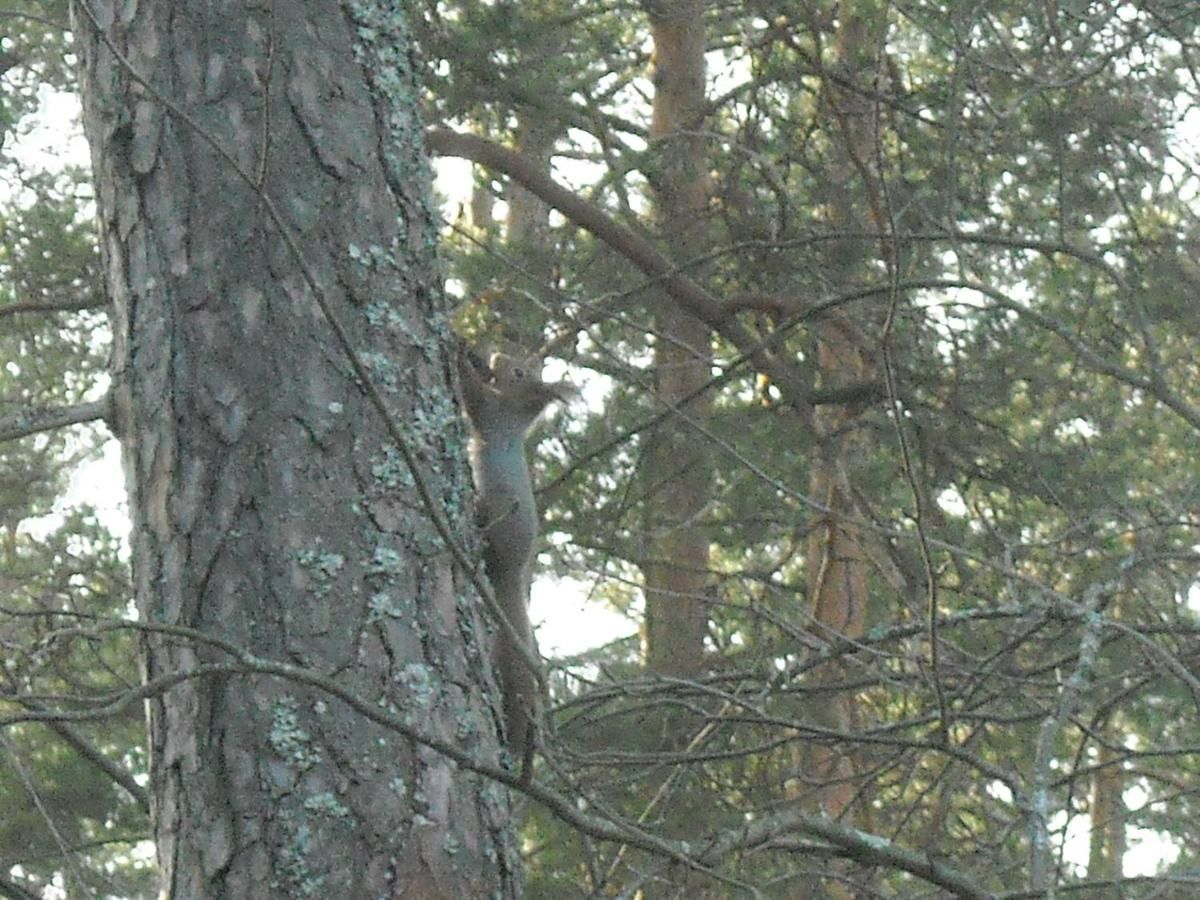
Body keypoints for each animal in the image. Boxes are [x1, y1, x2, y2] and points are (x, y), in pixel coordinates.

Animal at [456, 348, 573, 772]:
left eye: (521, 372)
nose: (498, 355)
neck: (516, 411)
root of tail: (512, 576)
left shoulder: (491, 413)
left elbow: (472, 396)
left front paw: (459, 352)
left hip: (500, 527)